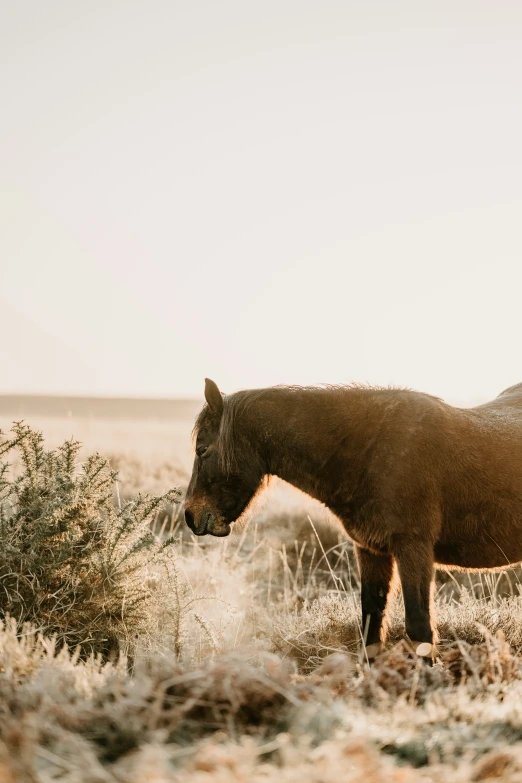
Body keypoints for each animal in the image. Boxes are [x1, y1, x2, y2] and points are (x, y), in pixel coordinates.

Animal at [182, 376, 520, 660]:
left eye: (202, 449)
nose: (190, 515)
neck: (369, 451)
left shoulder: (413, 548)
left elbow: (419, 627)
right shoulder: (371, 550)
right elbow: (371, 624)